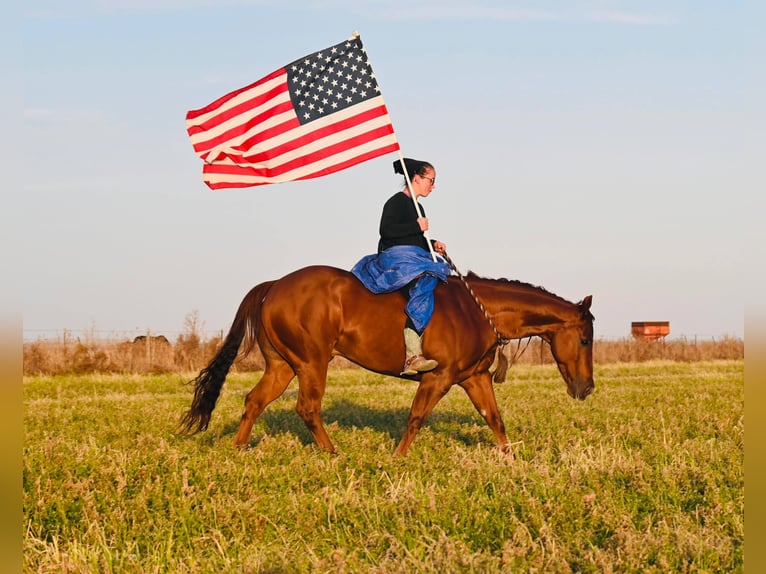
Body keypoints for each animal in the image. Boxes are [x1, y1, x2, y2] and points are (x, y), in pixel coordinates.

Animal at [178, 266, 592, 460]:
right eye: (586, 339)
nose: (587, 388)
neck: (476, 311)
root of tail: (273, 286)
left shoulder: (474, 378)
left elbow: (494, 419)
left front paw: (510, 458)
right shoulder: (438, 378)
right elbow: (416, 418)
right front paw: (397, 458)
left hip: (283, 366)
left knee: (255, 401)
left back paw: (239, 449)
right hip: (312, 363)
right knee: (307, 407)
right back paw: (333, 453)